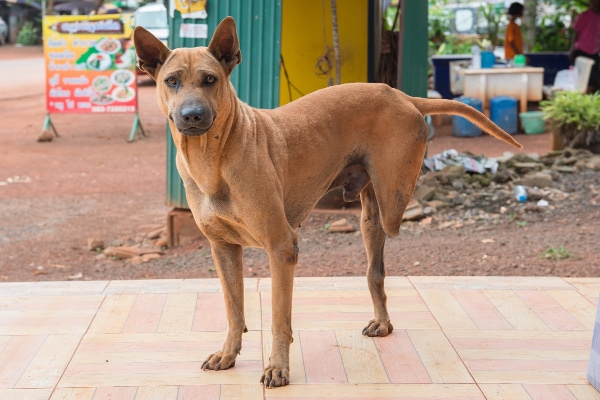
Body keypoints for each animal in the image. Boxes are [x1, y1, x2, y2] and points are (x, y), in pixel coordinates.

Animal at [131, 16, 520, 388]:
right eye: (172, 81)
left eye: (210, 79)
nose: (192, 115)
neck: (214, 157)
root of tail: (401, 94)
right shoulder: (222, 248)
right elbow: (233, 309)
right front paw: (228, 354)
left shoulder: (282, 248)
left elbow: (279, 319)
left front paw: (278, 368)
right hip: (370, 216)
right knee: (375, 272)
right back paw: (382, 321)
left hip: (392, 201)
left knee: (386, 247)